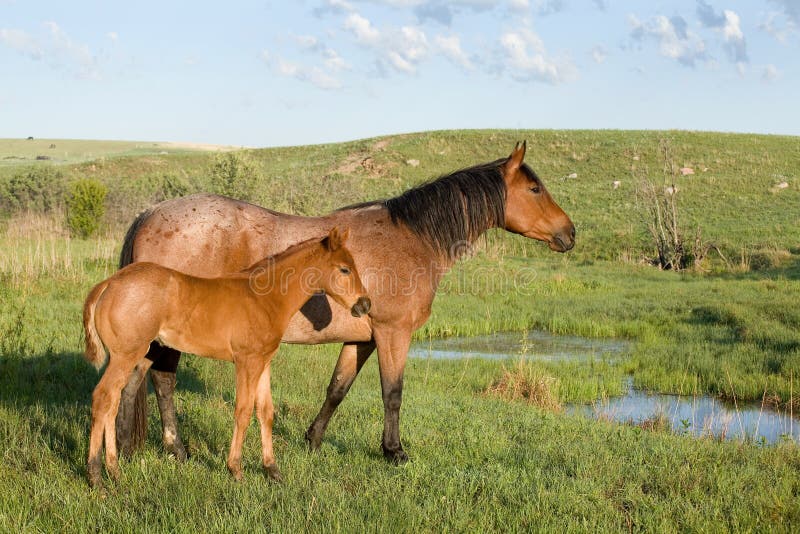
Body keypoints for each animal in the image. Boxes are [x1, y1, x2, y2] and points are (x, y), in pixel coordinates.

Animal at [81, 227, 368, 490]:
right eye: (345, 269)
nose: (365, 305)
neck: (265, 298)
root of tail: (109, 284)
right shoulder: (246, 362)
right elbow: (243, 411)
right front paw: (236, 470)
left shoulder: (263, 362)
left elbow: (266, 412)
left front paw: (272, 471)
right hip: (126, 355)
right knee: (103, 398)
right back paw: (96, 476)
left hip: (128, 356)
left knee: (113, 401)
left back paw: (114, 471)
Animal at [115, 142, 576, 464]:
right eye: (535, 188)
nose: (570, 233)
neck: (411, 239)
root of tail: (150, 213)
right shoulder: (393, 334)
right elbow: (393, 393)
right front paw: (394, 452)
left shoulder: (363, 338)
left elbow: (338, 388)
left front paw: (313, 440)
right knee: (154, 380)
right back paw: (154, 448)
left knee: (151, 380)